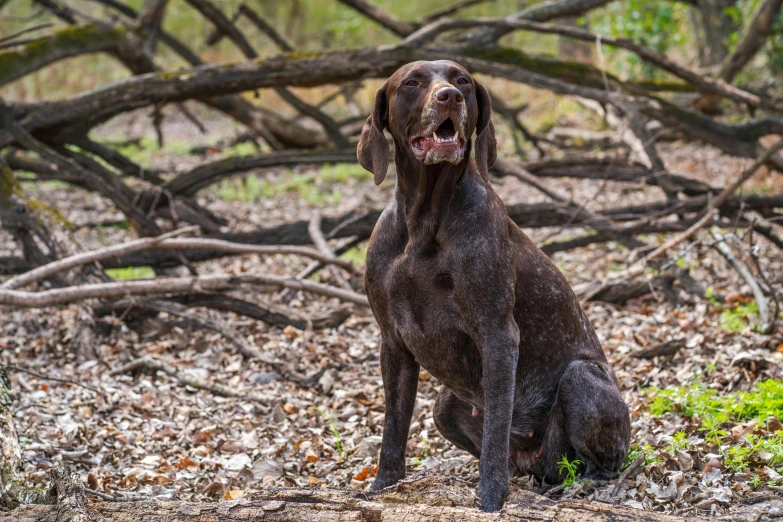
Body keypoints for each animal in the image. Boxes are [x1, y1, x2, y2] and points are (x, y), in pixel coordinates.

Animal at [358, 60, 632, 508]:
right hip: (446, 406)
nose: (449, 96)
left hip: (581, 378)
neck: (423, 223)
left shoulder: (498, 334)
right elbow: (393, 429)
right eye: (412, 81)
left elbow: (495, 430)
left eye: (463, 80)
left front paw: (489, 497)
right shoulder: (393, 342)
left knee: (599, 464)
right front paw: (384, 486)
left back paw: (579, 485)